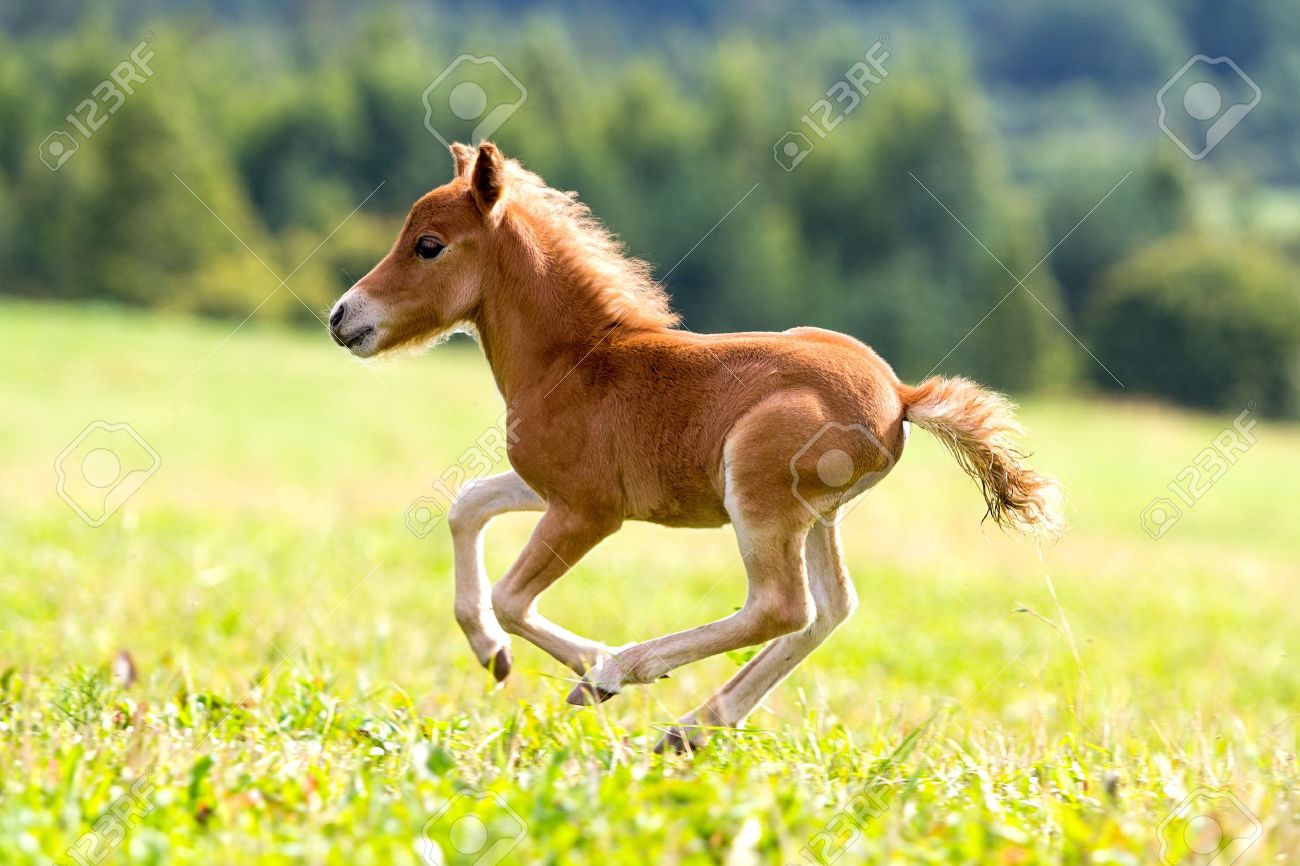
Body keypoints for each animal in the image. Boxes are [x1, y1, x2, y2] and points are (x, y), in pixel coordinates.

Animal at [328, 141, 1063, 752]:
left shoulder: (589, 510)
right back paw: (691, 728)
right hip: (818, 516)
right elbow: (466, 507)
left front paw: (590, 667)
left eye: (428, 245)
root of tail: (902, 395)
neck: (577, 361)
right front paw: (491, 652)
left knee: (781, 607)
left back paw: (628, 673)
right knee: (830, 610)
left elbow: (512, 595)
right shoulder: (550, 488)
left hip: (759, 498)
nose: (342, 317)